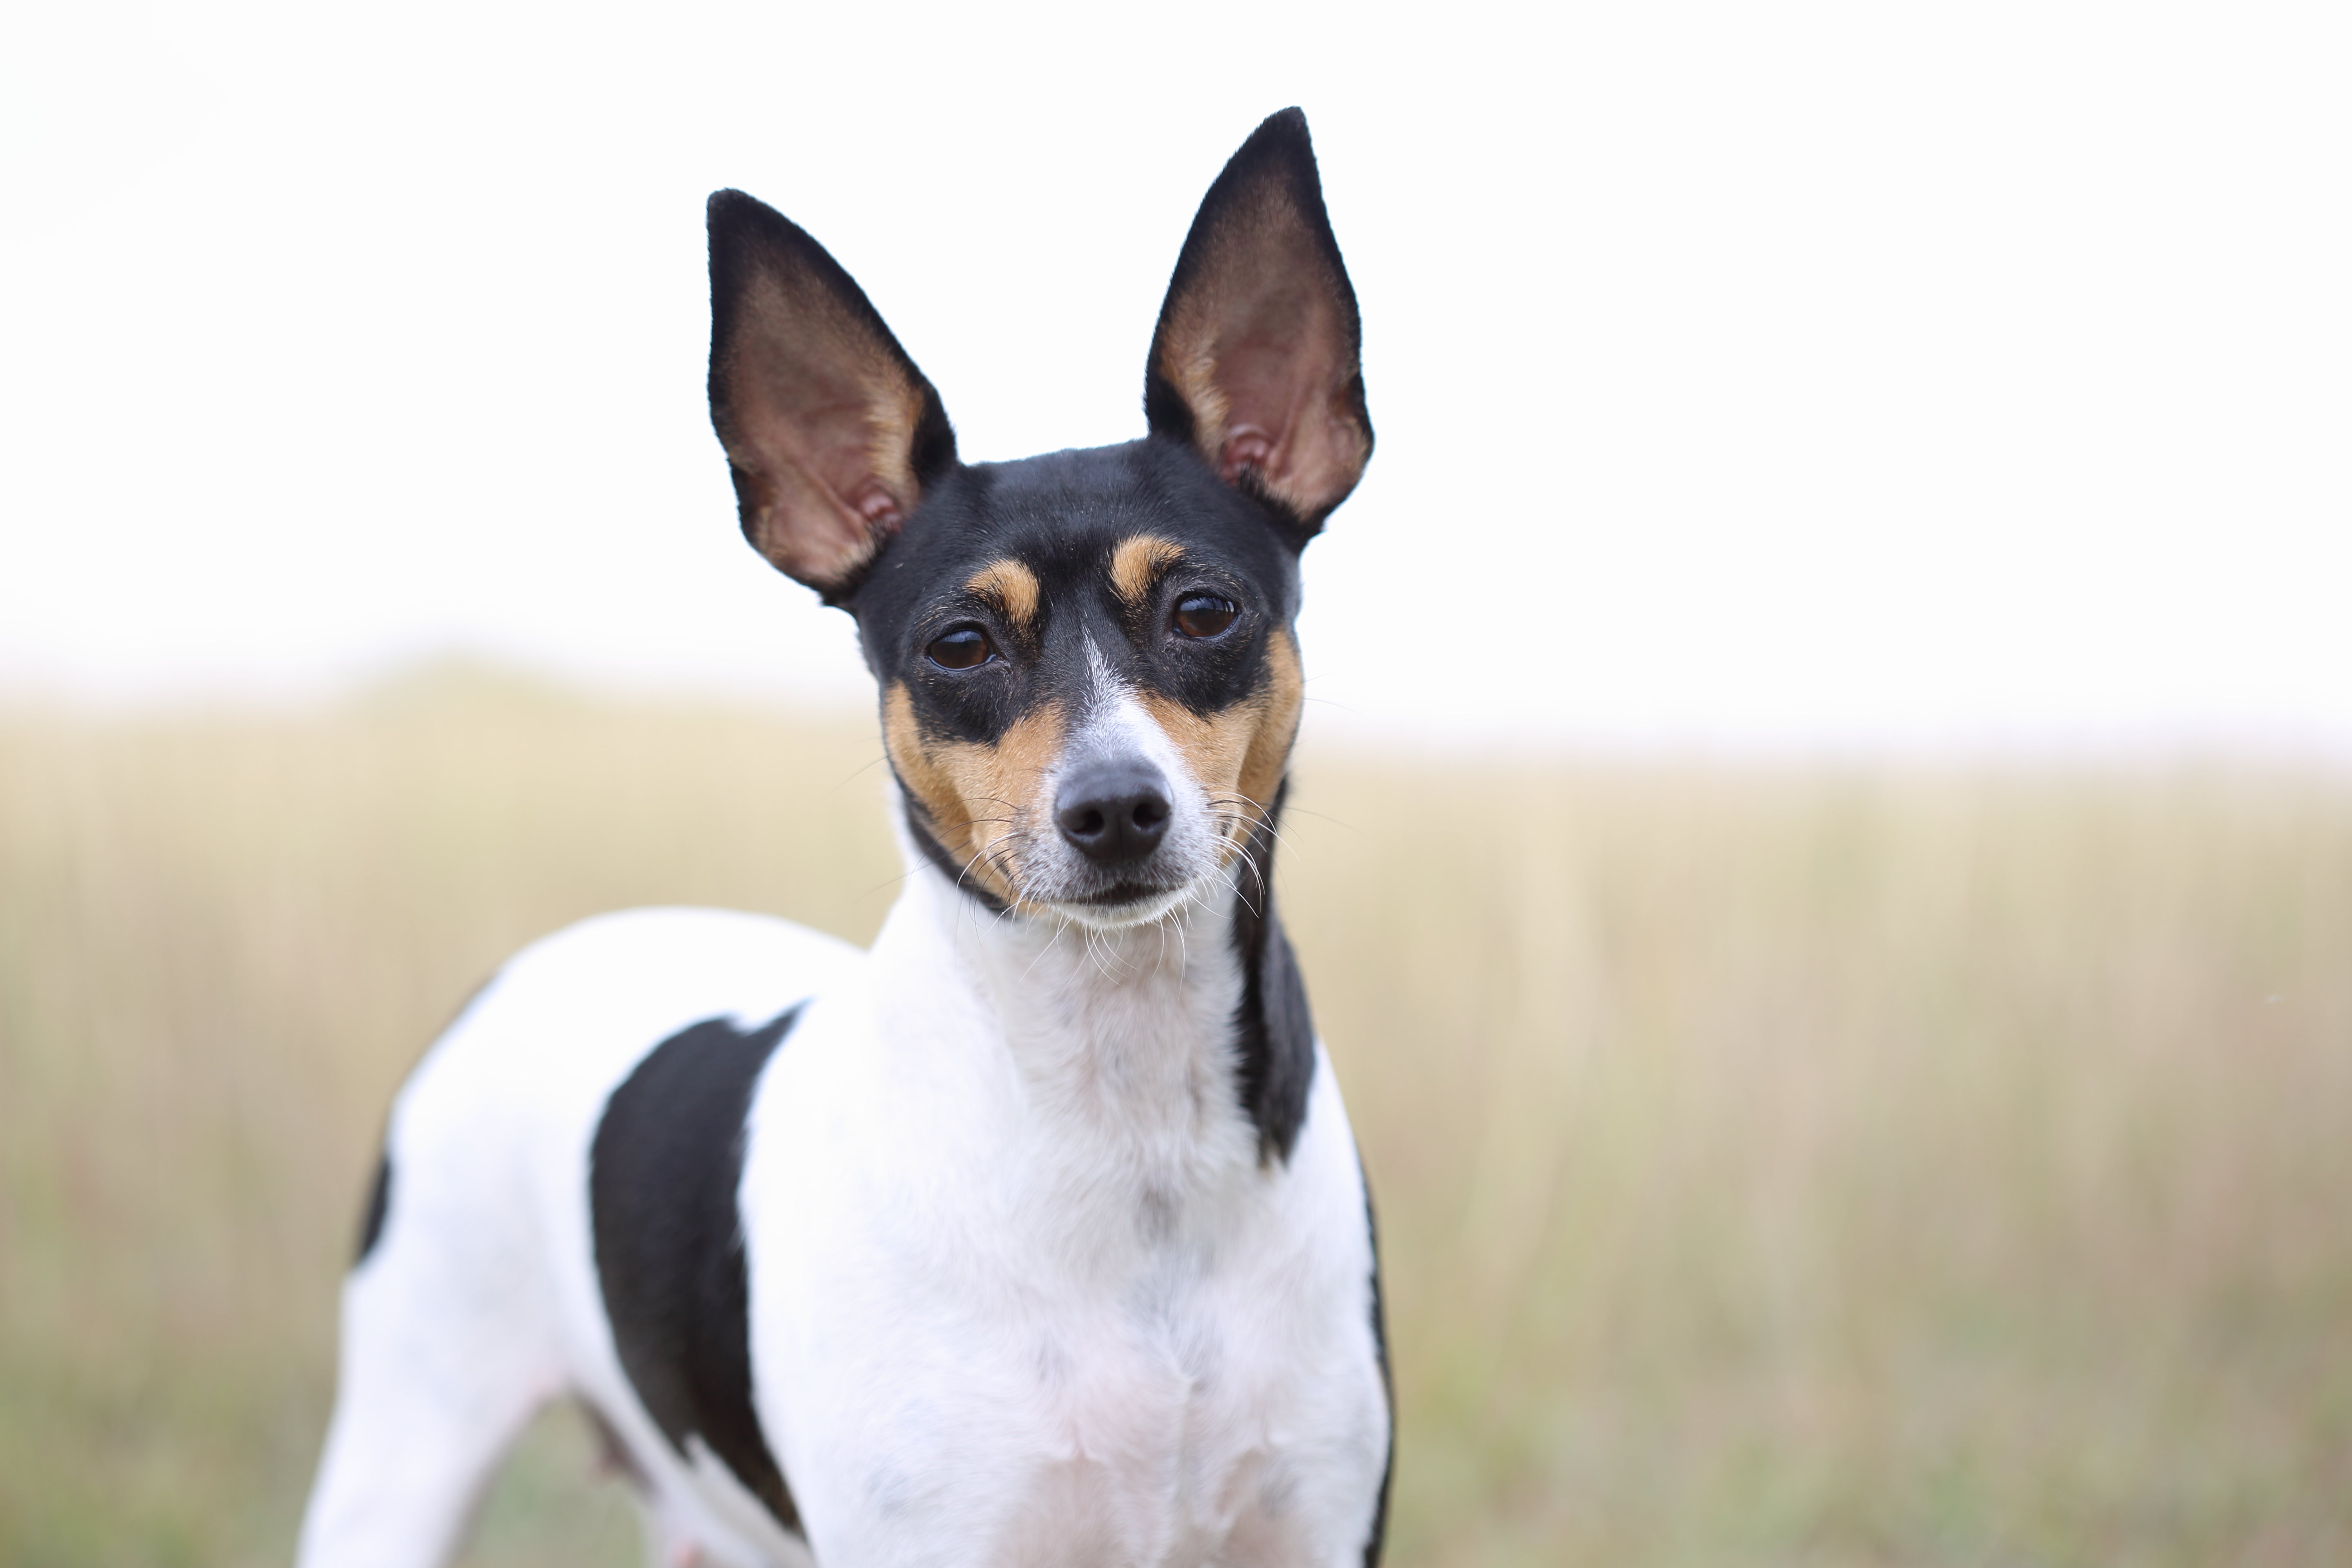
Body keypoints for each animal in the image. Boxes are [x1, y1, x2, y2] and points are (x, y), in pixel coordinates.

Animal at [294, 110, 1392, 1568]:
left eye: (1203, 611)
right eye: (960, 645)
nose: (1113, 809)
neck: (1124, 1130)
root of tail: (533, 961)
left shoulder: (1318, 1523)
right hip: (403, 1449)